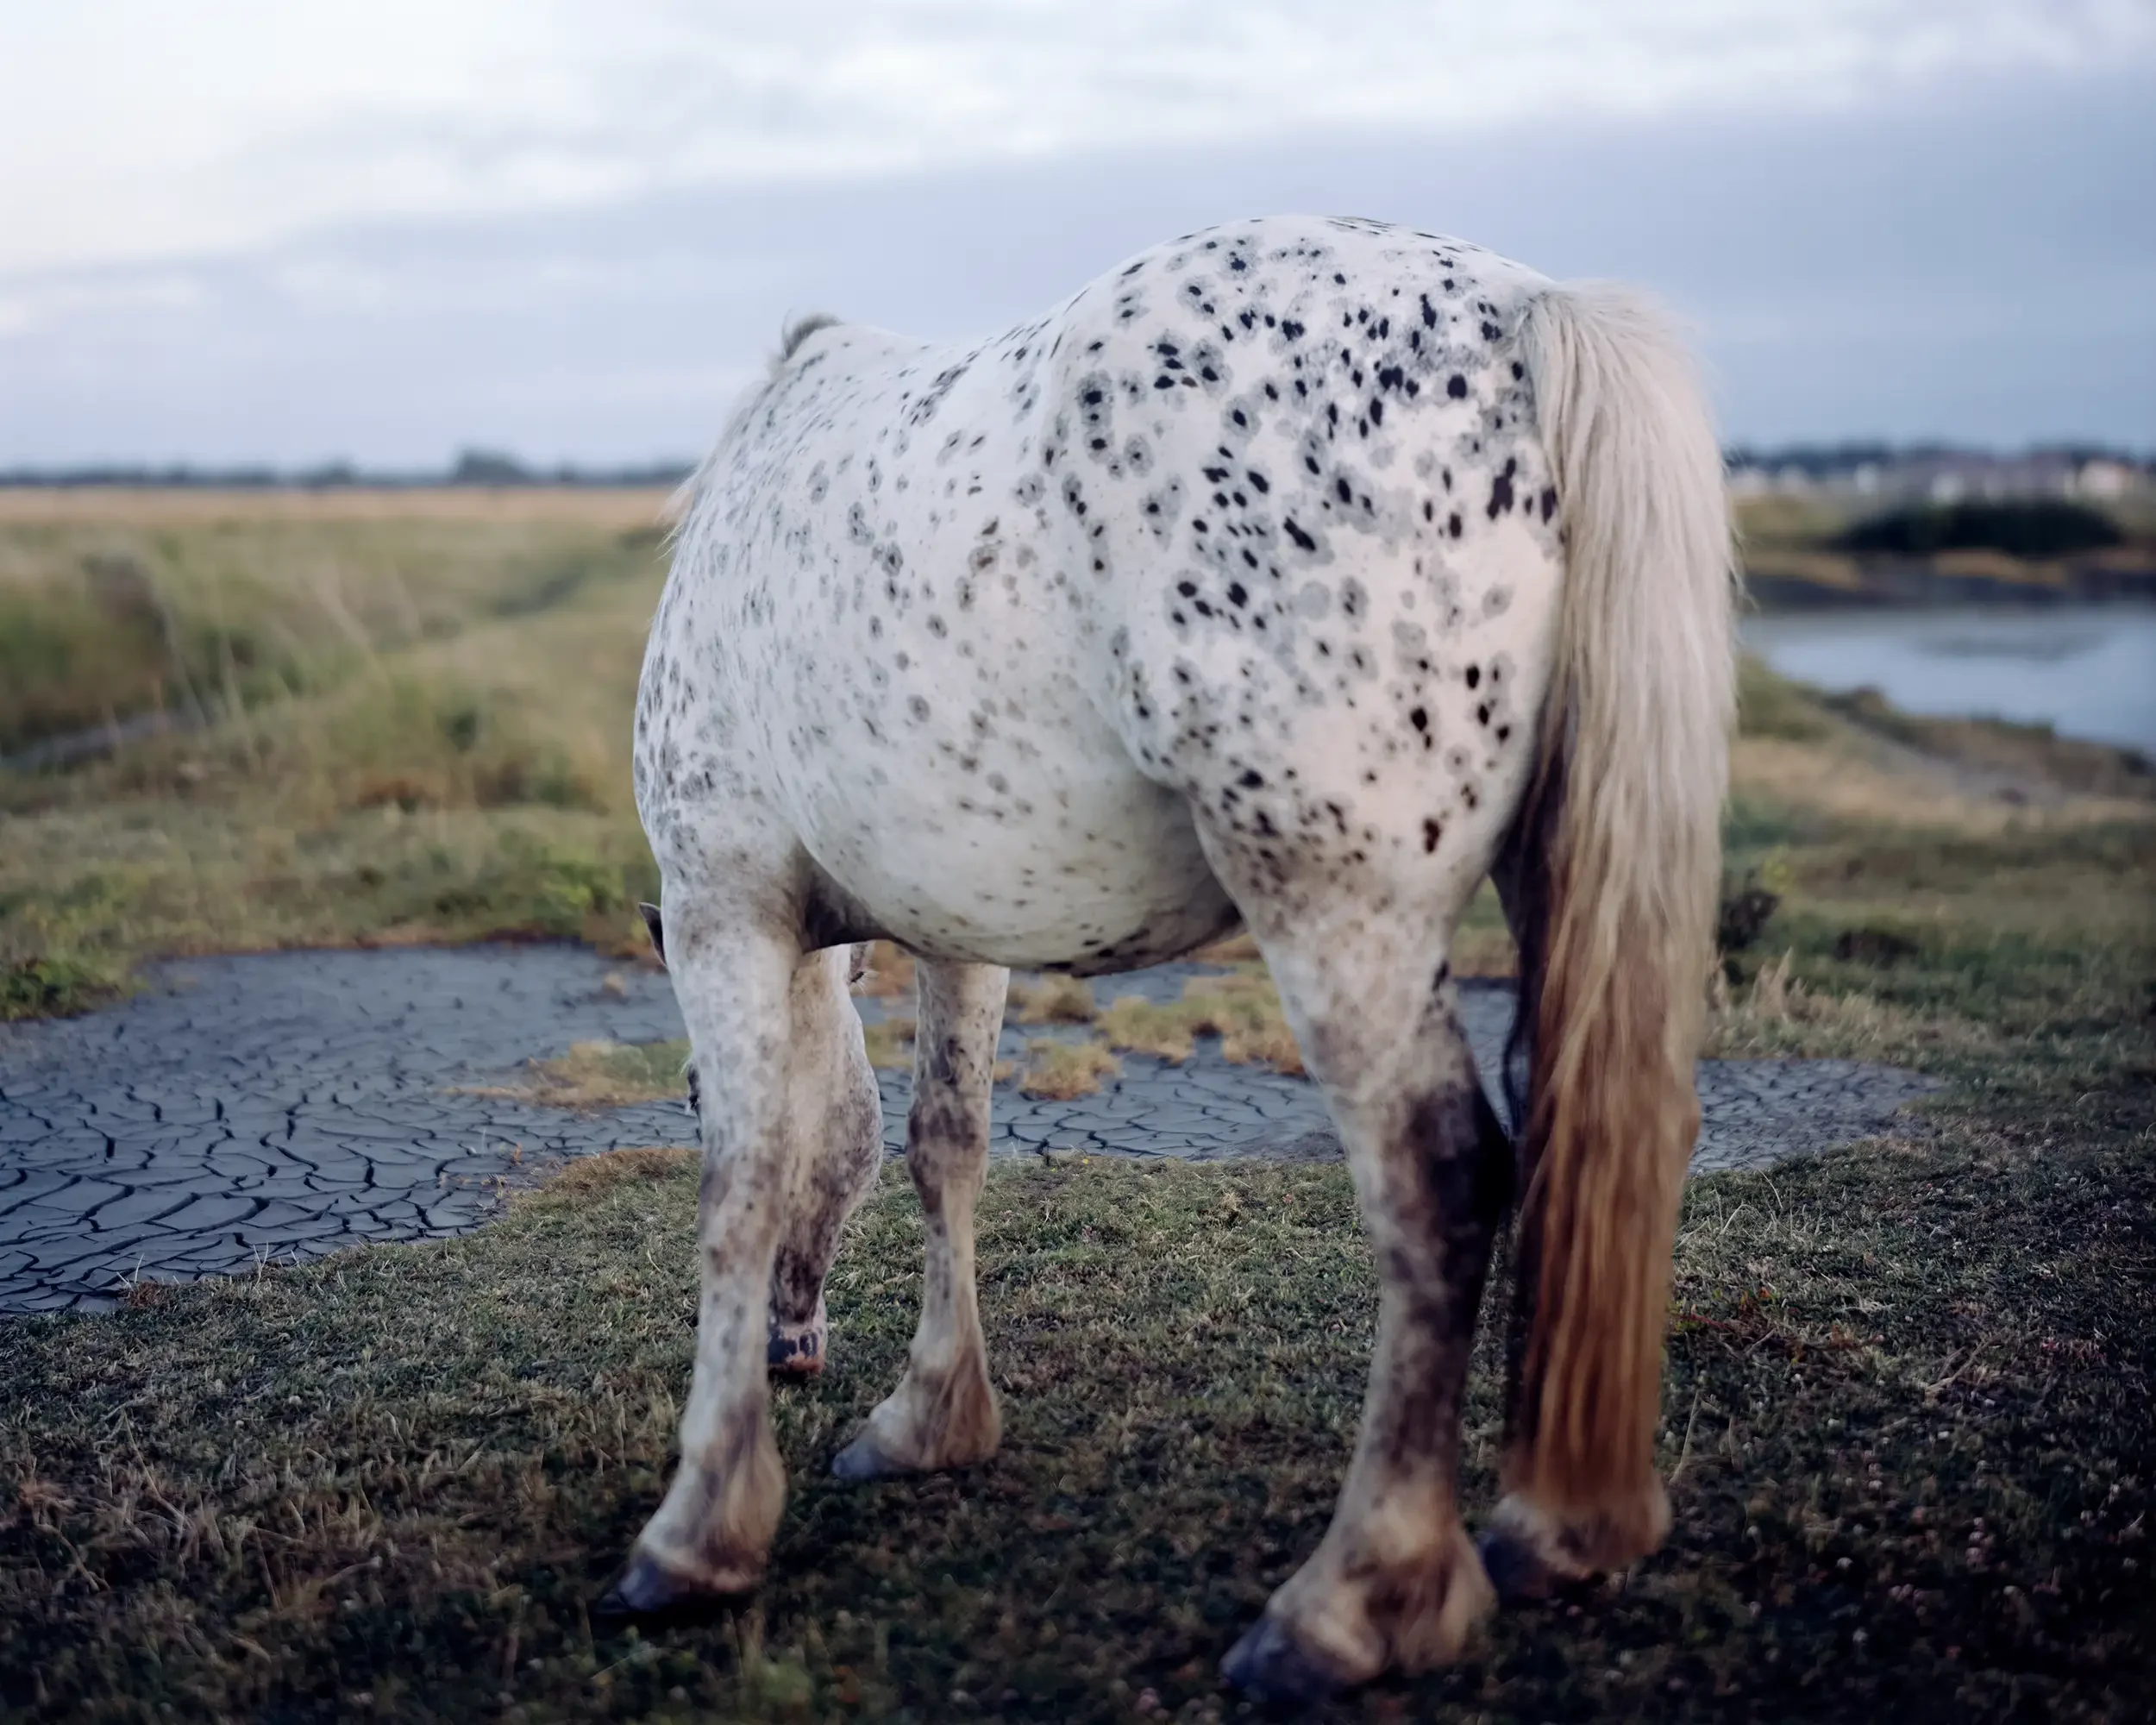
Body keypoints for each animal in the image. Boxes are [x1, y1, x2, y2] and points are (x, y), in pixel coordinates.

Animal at [603, 213, 1735, 1703]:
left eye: (679, 1092)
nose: (796, 1350)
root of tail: (1520, 314)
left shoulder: (725, 904)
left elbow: (744, 1184)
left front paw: (697, 1535)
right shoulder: (962, 934)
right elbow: (942, 1145)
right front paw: (929, 1420)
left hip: (1339, 906)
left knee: (1442, 1179)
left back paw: (1355, 1603)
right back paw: (1559, 1534)